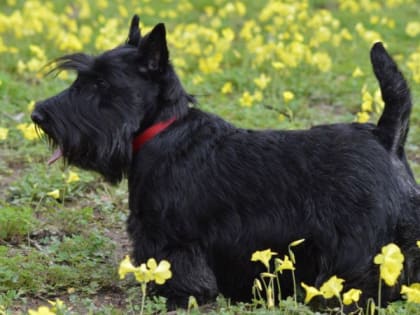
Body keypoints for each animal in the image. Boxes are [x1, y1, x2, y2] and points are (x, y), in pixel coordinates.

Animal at [32, 16, 420, 310]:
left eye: (100, 82)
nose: (38, 114)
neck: (164, 129)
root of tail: (384, 135)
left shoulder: (170, 237)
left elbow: (179, 269)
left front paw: (175, 296)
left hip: (359, 247)